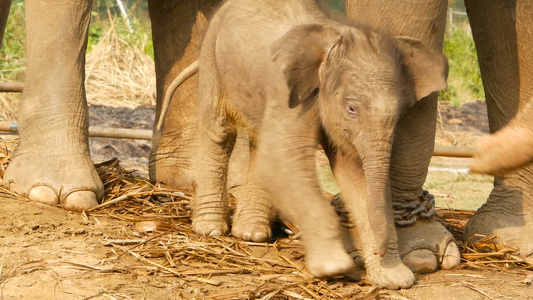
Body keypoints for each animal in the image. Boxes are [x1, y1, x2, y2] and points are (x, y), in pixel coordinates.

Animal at [186, 0, 444, 290]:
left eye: (399, 114)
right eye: (351, 109)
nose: (378, 250)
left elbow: (355, 173)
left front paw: (395, 279)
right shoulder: (289, 95)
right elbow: (283, 161)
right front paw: (335, 267)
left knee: (257, 139)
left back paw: (251, 233)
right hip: (212, 55)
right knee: (217, 130)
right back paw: (210, 229)